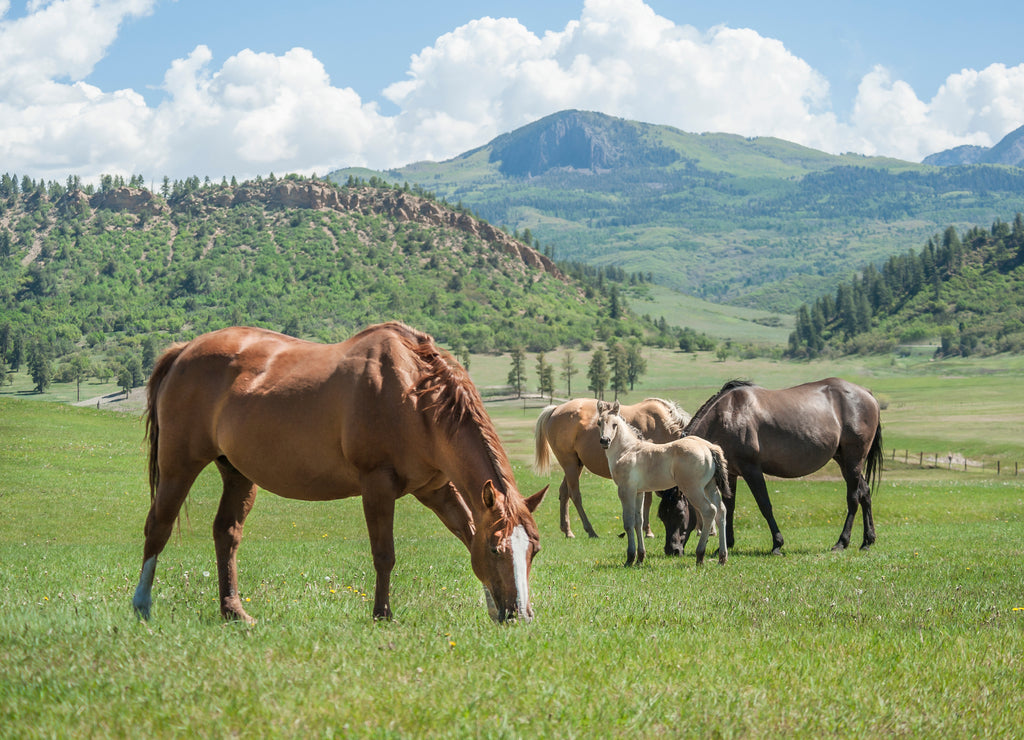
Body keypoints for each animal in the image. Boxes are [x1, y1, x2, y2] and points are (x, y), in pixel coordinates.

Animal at [132, 322, 547, 624]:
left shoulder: (437, 489)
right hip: (178, 465)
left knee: (226, 534)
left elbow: (467, 533)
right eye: (496, 548)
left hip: (236, 473)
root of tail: (183, 350)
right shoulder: (377, 484)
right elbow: (385, 554)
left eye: (534, 549)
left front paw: (491, 607)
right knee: (158, 527)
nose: (521, 616)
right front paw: (382, 614)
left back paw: (233, 611)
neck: (414, 395)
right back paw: (142, 605)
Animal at [533, 397, 690, 539]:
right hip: (569, 463)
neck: (663, 427)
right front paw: (648, 531)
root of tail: (555, 409)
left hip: (576, 465)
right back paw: (590, 530)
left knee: (564, 492)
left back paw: (567, 530)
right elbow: (647, 501)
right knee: (575, 495)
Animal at [596, 400, 730, 567]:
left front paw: (630, 558)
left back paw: (700, 556)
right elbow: (638, 521)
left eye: (614, 424)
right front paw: (640, 558)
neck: (627, 449)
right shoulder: (638, 492)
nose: (605, 441)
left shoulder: (625, 490)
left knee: (709, 511)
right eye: (599, 422)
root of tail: (709, 447)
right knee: (721, 511)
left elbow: (628, 522)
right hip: (709, 487)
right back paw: (722, 558)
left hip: (693, 489)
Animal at [659, 378, 882, 557]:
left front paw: (777, 544)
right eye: (661, 515)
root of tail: (867, 395)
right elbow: (729, 507)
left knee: (853, 498)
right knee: (865, 493)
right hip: (844, 461)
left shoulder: (752, 470)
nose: (672, 550)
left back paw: (842, 542)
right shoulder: (731, 474)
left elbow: (765, 505)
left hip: (853, 460)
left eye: (679, 514)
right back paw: (867, 541)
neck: (727, 416)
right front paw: (727, 544)